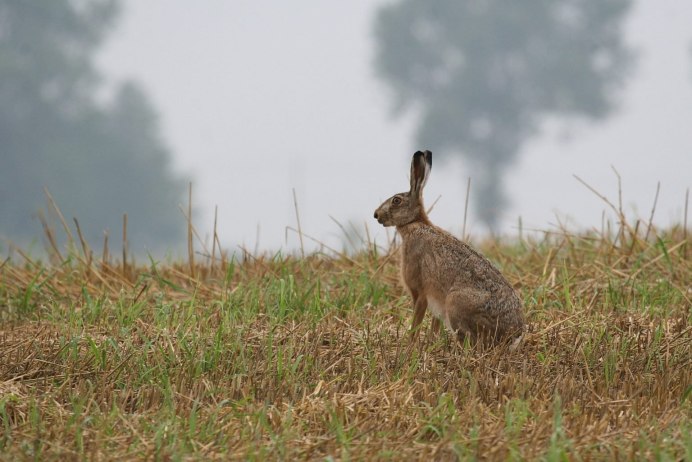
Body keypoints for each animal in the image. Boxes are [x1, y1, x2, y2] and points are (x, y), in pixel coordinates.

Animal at [374, 150, 524, 348]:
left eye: (396, 201)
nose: (376, 215)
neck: (414, 223)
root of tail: (513, 336)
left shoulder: (420, 292)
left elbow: (417, 319)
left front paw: (410, 344)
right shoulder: (436, 300)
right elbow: (434, 324)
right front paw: (430, 342)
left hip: (455, 303)